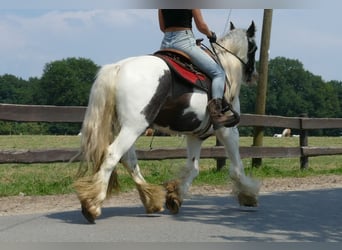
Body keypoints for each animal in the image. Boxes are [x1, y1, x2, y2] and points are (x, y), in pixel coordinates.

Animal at [74, 22, 260, 224]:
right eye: (254, 48)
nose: (253, 76)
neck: (226, 70)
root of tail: (119, 67)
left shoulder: (196, 135)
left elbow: (193, 168)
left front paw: (175, 196)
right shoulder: (228, 131)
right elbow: (237, 168)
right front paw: (248, 195)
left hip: (123, 127)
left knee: (129, 160)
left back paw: (151, 199)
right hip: (134, 127)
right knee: (112, 154)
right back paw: (92, 205)